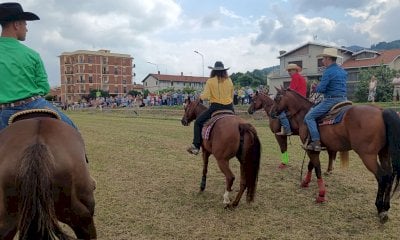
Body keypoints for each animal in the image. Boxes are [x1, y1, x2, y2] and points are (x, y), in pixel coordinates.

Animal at [270, 87, 400, 223]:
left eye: (277, 98)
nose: (271, 113)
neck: (304, 114)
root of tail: (381, 111)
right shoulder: (314, 148)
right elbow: (311, 166)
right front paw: (305, 182)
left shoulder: (311, 149)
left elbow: (317, 169)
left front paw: (321, 195)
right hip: (384, 153)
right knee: (390, 176)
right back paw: (386, 207)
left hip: (368, 156)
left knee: (382, 177)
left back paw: (380, 209)